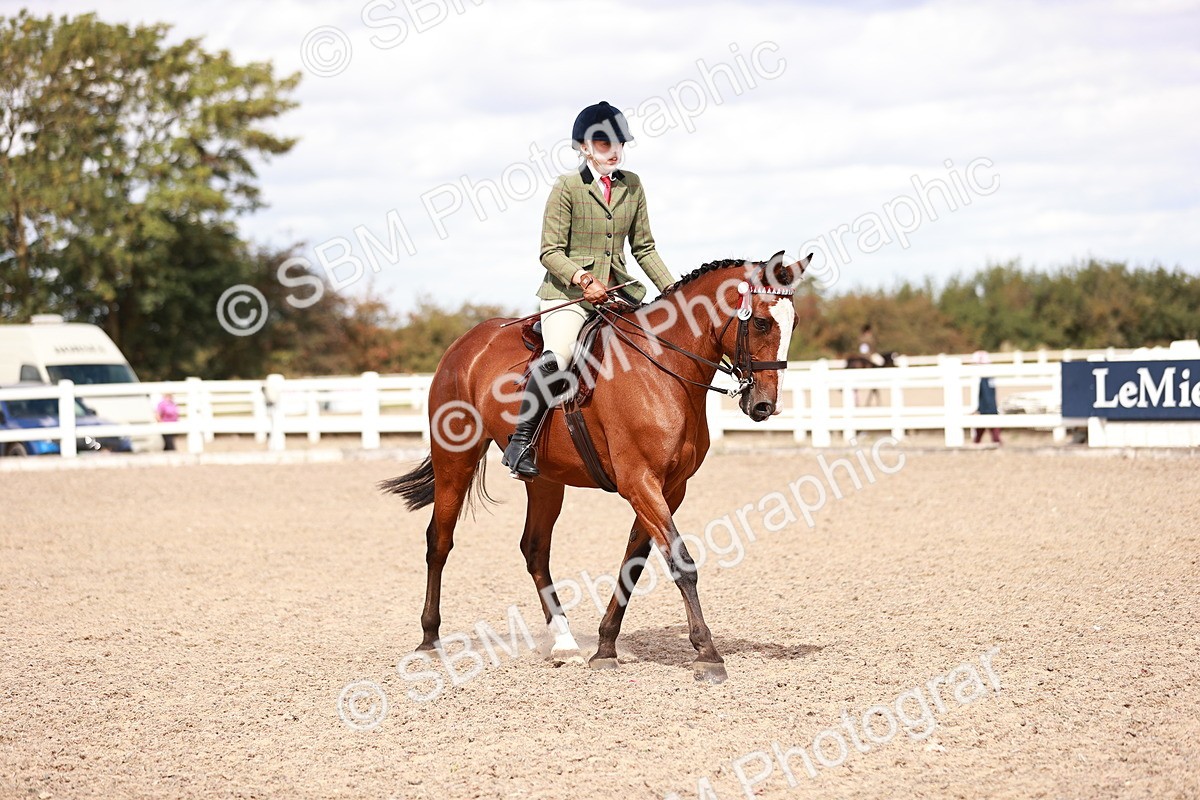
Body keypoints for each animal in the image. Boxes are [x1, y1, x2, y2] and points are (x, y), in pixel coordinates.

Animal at [379, 253, 810, 684]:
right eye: (760, 322)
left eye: (794, 323)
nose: (764, 406)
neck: (663, 367)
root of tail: (466, 343)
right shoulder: (641, 482)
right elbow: (682, 563)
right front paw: (707, 653)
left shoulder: (669, 488)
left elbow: (634, 565)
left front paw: (605, 646)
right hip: (455, 458)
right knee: (439, 542)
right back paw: (429, 640)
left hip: (545, 480)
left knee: (534, 550)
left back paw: (564, 643)